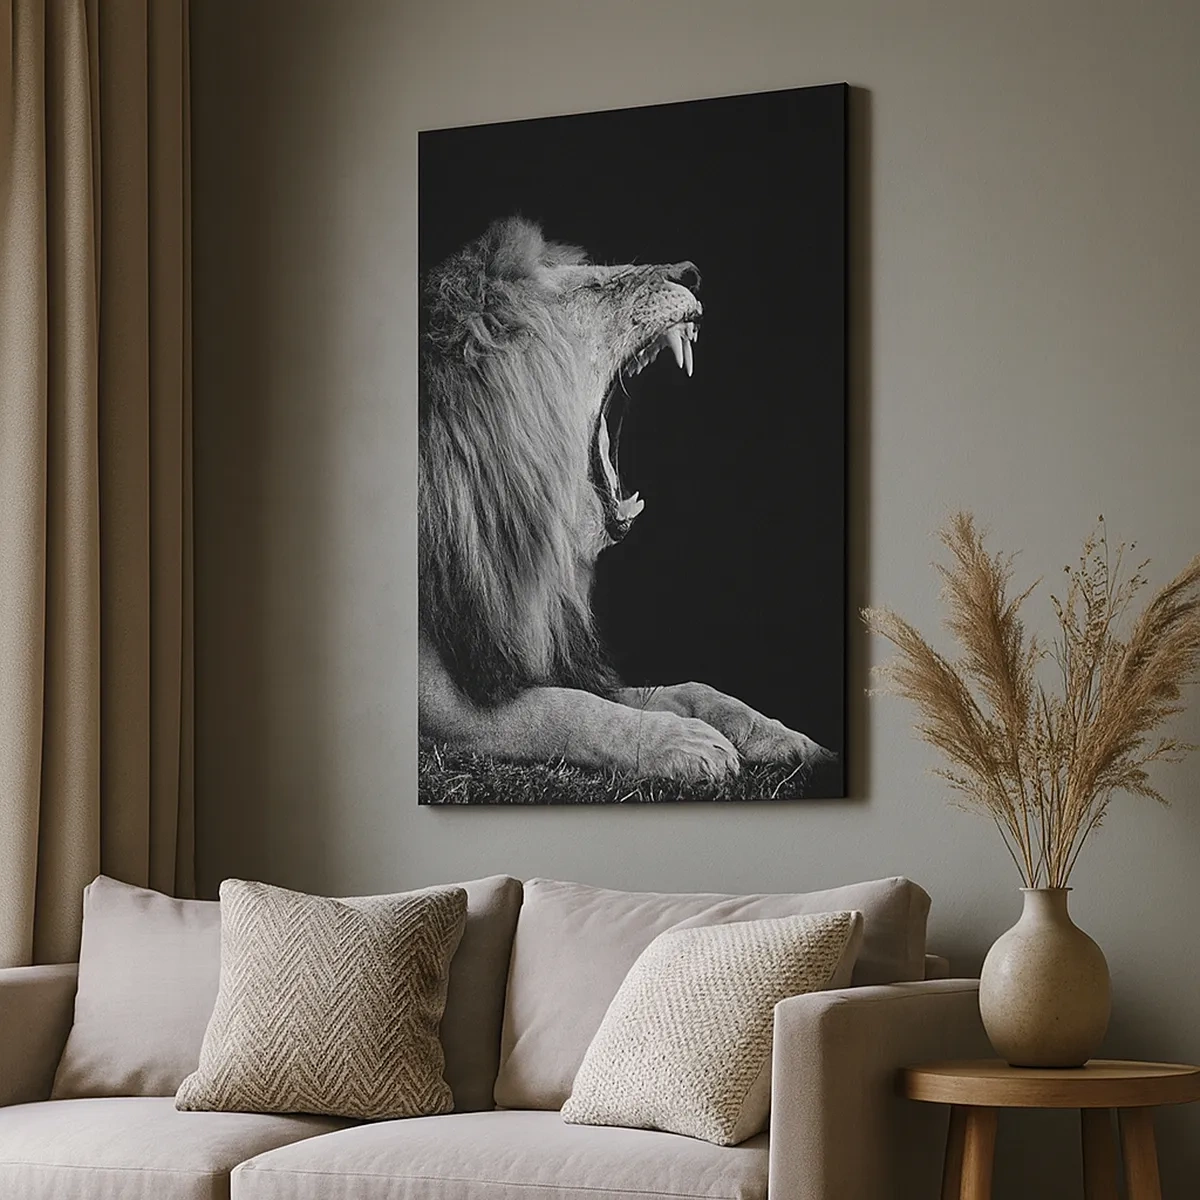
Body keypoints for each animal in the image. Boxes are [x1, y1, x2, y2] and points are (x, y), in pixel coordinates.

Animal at [419, 217, 832, 783]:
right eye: (592, 287)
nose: (691, 273)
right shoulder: (436, 694)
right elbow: (561, 708)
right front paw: (681, 741)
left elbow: (686, 689)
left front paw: (784, 736)